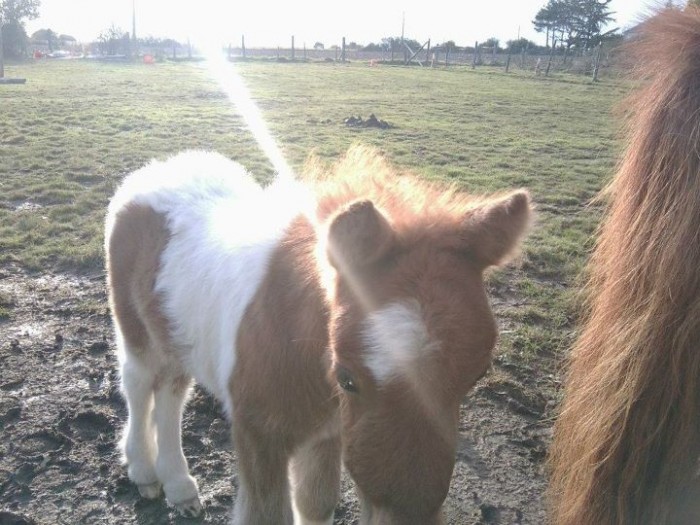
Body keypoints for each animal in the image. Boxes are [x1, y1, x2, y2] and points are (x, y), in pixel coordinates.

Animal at [105, 145, 532, 520]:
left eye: (477, 375)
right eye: (347, 378)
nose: (406, 517)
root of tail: (158, 170)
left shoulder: (328, 434)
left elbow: (316, 504)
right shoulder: (258, 434)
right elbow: (267, 516)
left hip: (176, 338)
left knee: (171, 394)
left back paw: (179, 487)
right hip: (136, 333)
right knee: (138, 384)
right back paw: (143, 472)